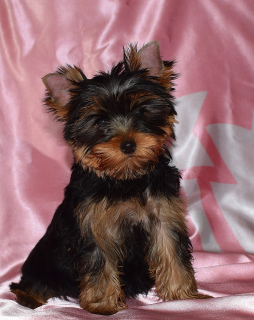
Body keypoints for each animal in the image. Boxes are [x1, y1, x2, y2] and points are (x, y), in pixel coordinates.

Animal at [9, 41, 209, 314]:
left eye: (141, 113)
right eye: (101, 121)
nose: (128, 144)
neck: (126, 178)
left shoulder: (164, 216)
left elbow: (172, 253)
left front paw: (183, 296)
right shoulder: (94, 226)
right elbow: (99, 263)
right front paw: (103, 304)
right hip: (45, 260)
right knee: (31, 282)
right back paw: (29, 298)